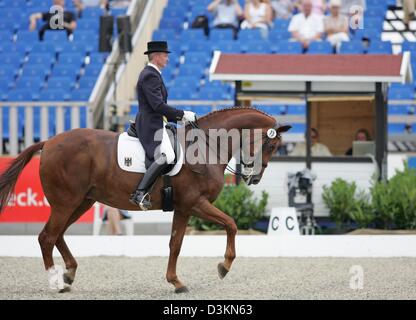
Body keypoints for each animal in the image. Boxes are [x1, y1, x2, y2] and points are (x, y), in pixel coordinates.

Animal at [0, 107, 290, 292]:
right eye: (271, 145)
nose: (254, 178)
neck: (206, 146)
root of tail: (48, 142)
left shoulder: (184, 208)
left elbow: (175, 244)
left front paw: (176, 282)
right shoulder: (196, 203)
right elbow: (231, 224)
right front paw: (223, 266)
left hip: (81, 202)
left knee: (57, 235)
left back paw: (69, 273)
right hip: (66, 202)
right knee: (47, 237)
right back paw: (56, 283)